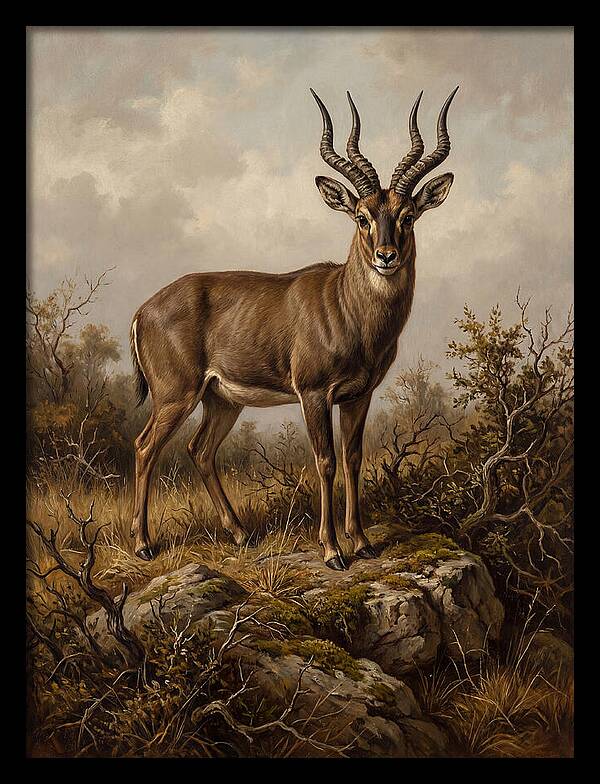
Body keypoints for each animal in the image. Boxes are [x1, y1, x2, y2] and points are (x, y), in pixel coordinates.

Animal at [129, 87, 458, 570]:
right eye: (361, 216)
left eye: (408, 215)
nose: (386, 256)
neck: (347, 308)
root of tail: (142, 310)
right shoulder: (314, 393)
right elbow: (324, 460)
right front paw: (332, 551)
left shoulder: (359, 395)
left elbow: (353, 457)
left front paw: (363, 542)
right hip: (176, 395)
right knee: (145, 446)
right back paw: (143, 544)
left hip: (222, 400)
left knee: (199, 450)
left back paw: (241, 535)